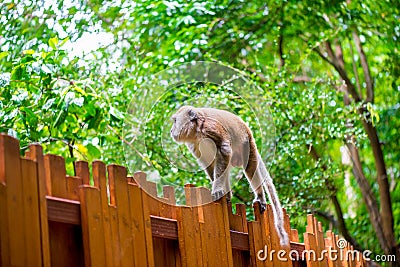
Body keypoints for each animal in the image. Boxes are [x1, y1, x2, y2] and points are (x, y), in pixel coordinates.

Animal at [170, 105, 290, 247]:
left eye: (175, 121)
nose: (171, 130)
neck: (196, 131)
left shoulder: (211, 128)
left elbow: (224, 150)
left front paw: (217, 189)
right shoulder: (193, 144)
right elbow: (208, 162)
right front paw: (218, 188)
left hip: (247, 143)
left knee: (249, 168)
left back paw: (260, 196)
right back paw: (227, 196)